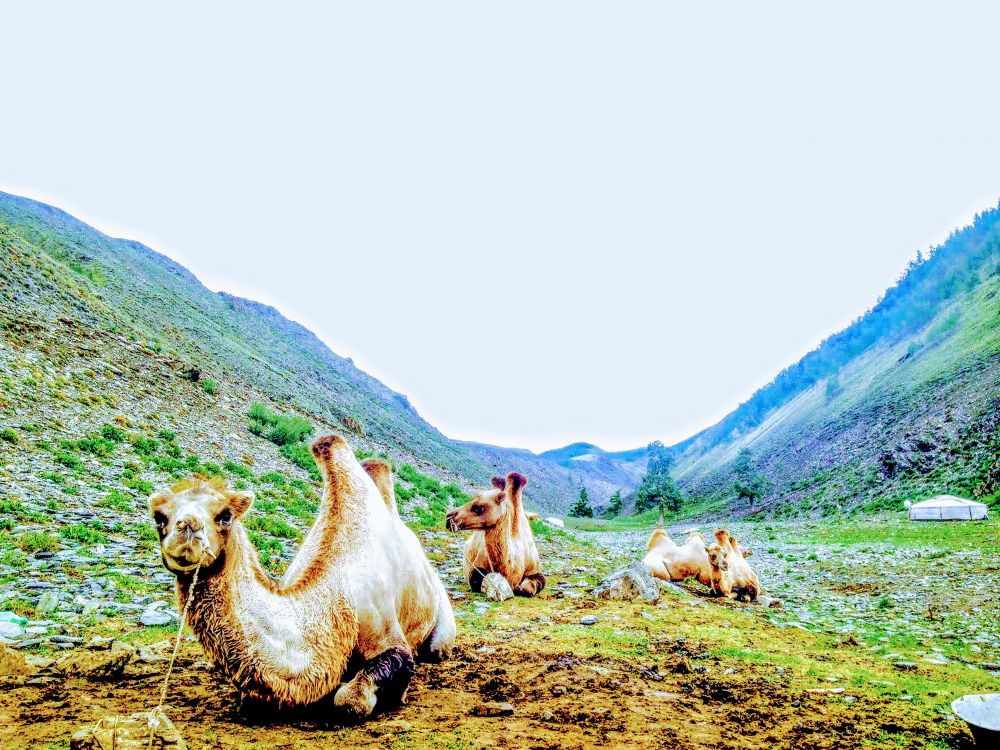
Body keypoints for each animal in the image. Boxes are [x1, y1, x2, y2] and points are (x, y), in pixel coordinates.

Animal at [149, 434, 458, 716]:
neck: (336, 596)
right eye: (159, 517)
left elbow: (350, 700)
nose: (187, 530)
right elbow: (250, 700)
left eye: (225, 515)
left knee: (436, 647)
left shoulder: (387, 633)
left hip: (442, 621)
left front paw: (393, 695)